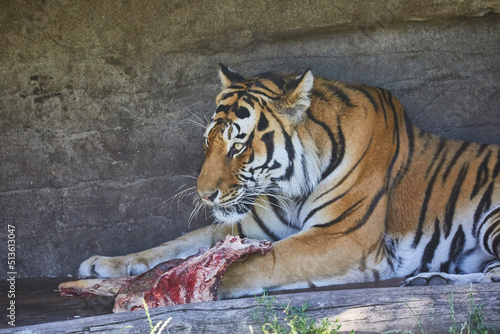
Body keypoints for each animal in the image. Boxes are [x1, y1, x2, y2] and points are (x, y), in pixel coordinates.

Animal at [79, 64, 500, 298]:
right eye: (208, 142)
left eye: (237, 146)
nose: (205, 195)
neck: (289, 189)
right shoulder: (246, 225)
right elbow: (176, 244)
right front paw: (106, 265)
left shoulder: (341, 237)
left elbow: (255, 265)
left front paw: (171, 288)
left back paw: (432, 280)